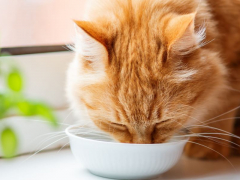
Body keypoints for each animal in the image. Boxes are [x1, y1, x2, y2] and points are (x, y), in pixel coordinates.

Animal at [66, 0, 240, 159]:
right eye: (118, 125)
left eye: (163, 122)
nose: (141, 146)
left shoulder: (232, 72)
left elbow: (220, 107)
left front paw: (207, 146)